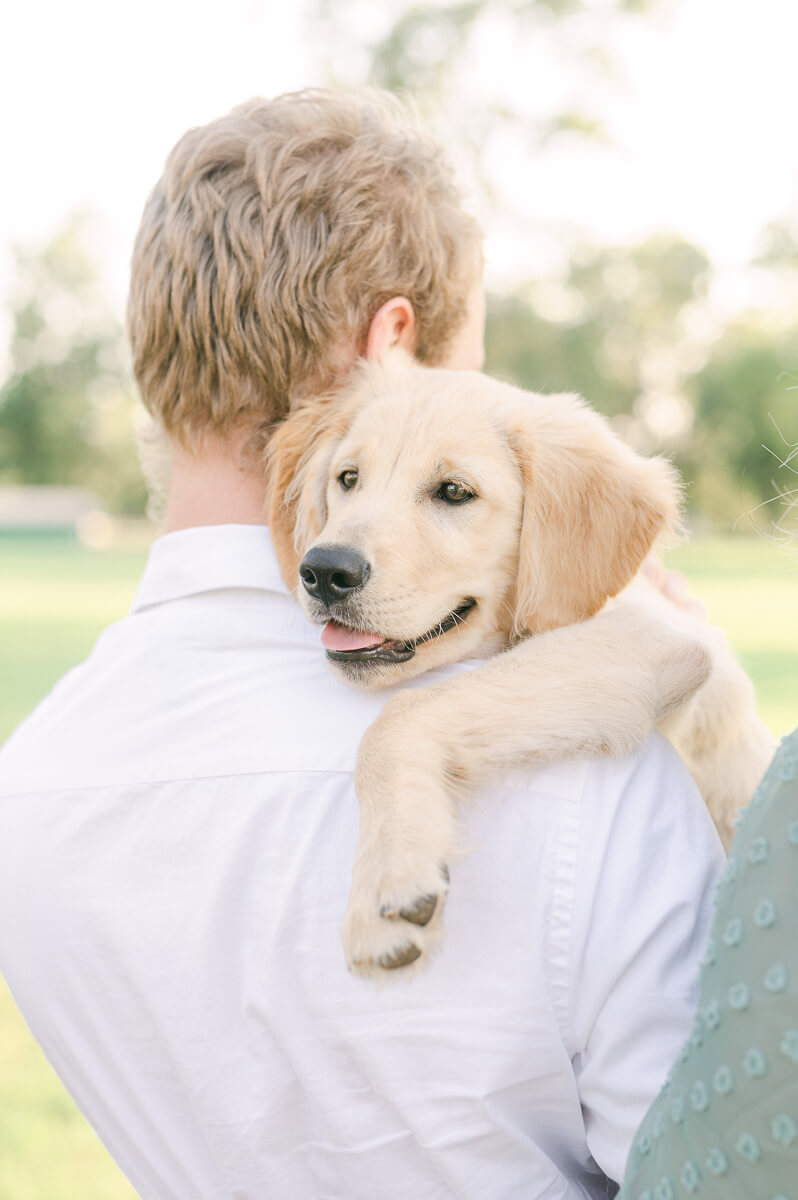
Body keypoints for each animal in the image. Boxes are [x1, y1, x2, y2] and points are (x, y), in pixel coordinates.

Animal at [266, 350, 772, 979]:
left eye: (454, 491)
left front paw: (386, 879)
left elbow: (400, 714)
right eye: (349, 479)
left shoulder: (653, 633)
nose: (324, 571)